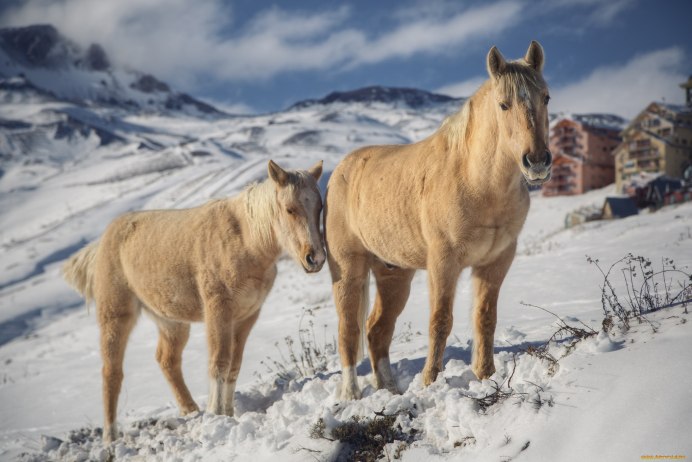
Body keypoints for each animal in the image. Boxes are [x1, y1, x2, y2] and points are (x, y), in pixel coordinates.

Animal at [64, 161, 324, 442]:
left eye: (320, 207)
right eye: (290, 209)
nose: (316, 258)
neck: (245, 240)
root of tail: (104, 240)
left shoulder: (246, 316)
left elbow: (234, 365)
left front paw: (228, 412)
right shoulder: (218, 312)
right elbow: (219, 362)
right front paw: (216, 413)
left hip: (171, 322)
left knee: (167, 360)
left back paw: (190, 411)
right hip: (116, 316)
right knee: (112, 372)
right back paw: (111, 438)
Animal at [324, 41, 552, 398]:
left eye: (546, 98)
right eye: (503, 104)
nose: (538, 161)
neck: (476, 181)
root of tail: (340, 171)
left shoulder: (496, 261)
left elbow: (485, 317)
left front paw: (485, 375)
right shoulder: (444, 262)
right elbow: (440, 320)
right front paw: (430, 381)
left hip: (393, 274)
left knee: (376, 330)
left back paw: (391, 390)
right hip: (348, 271)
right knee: (349, 331)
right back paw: (351, 394)